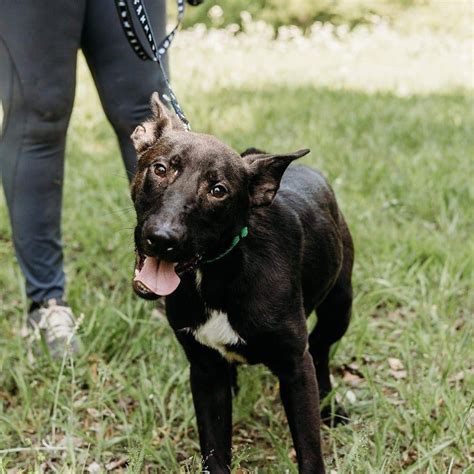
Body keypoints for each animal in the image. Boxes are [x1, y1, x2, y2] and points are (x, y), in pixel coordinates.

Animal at [130, 93, 352, 474]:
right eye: (160, 169)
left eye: (218, 190)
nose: (161, 239)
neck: (218, 276)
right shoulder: (204, 372)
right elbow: (215, 451)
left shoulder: (295, 368)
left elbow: (309, 450)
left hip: (339, 307)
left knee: (322, 348)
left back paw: (329, 405)